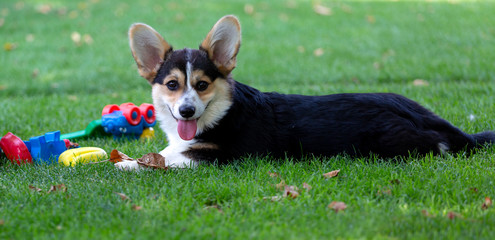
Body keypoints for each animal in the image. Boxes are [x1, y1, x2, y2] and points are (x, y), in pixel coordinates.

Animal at [115, 15, 495, 170]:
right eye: (172, 85)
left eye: (202, 85)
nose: (187, 112)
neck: (221, 112)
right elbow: (165, 151)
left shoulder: (225, 157)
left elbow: (165, 159)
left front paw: (127, 164)